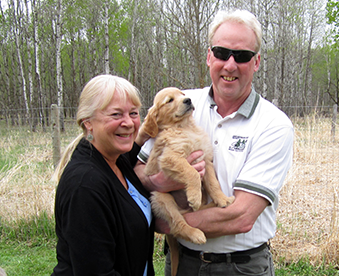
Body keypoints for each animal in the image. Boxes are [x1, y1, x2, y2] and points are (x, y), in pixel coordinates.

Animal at [142, 87, 235, 274]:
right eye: (170, 100)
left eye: (182, 94)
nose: (188, 100)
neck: (185, 127)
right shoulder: (171, 158)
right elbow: (191, 172)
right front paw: (194, 196)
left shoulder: (205, 159)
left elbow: (213, 183)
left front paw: (222, 199)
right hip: (160, 197)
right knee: (178, 224)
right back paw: (196, 233)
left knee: (194, 212)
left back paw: (211, 204)